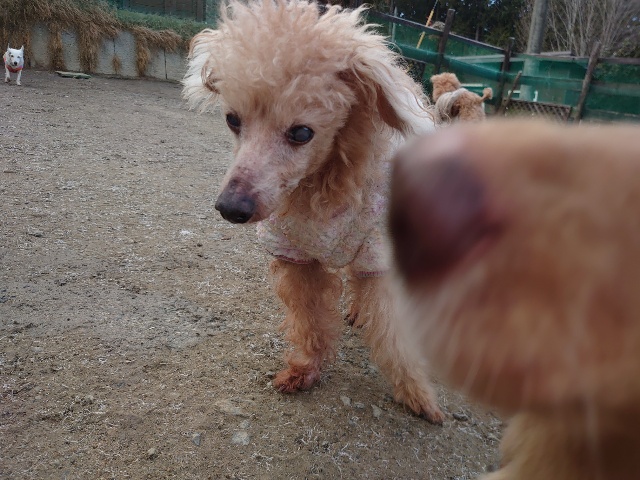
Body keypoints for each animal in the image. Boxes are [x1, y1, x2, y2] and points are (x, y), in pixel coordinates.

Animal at [183, 0, 443, 423]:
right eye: (232, 120)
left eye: (302, 133)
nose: (230, 208)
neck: (324, 187)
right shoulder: (295, 254)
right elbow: (308, 319)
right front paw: (305, 369)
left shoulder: (378, 252)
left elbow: (393, 333)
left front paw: (416, 392)